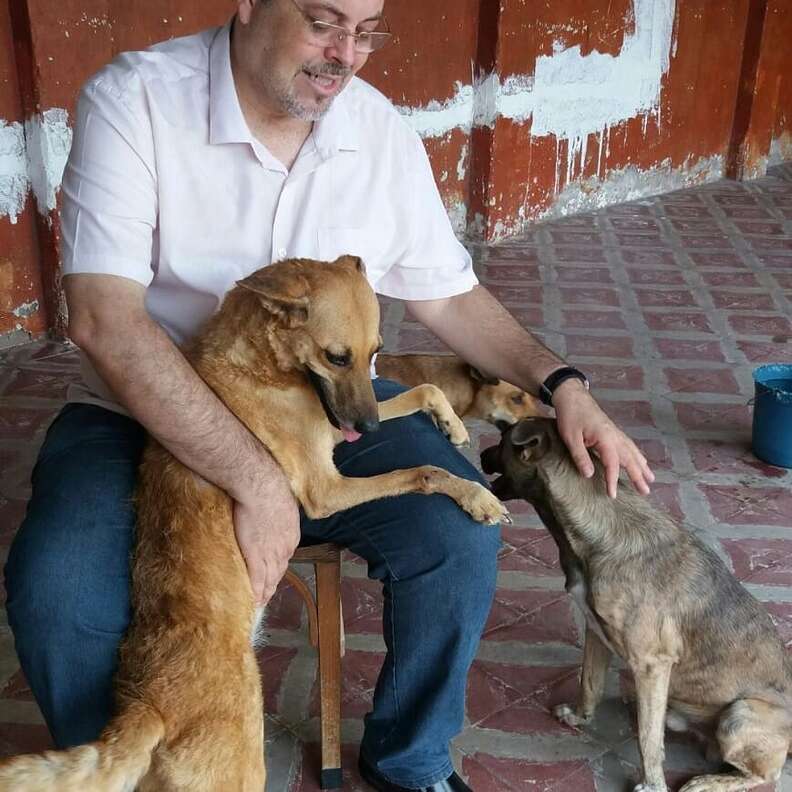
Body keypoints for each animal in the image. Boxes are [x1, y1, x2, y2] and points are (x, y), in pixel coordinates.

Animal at [480, 418, 792, 788]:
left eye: (502, 441)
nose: (479, 453)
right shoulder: (596, 632)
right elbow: (590, 684)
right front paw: (580, 716)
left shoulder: (651, 664)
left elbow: (648, 738)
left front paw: (653, 783)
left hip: (739, 715)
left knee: (762, 774)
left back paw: (706, 782)